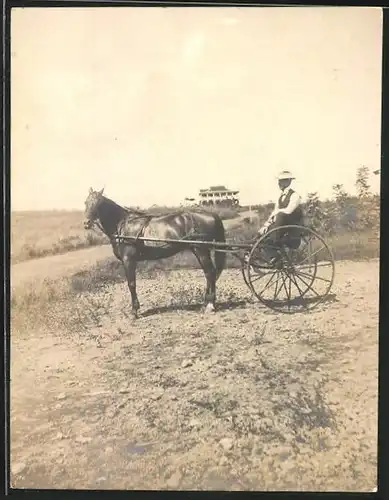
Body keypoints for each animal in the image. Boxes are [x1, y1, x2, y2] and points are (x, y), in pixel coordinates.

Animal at [83, 188, 226, 320]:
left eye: (99, 203)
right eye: (86, 202)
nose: (86, 223)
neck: (123, 225)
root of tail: (211, 214)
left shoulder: (128, 260)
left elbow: (131, 283)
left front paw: (134, 311)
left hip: (201, 250)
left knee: (210, 273)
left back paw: (210, 305)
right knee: (210, 273)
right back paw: (206, 303)